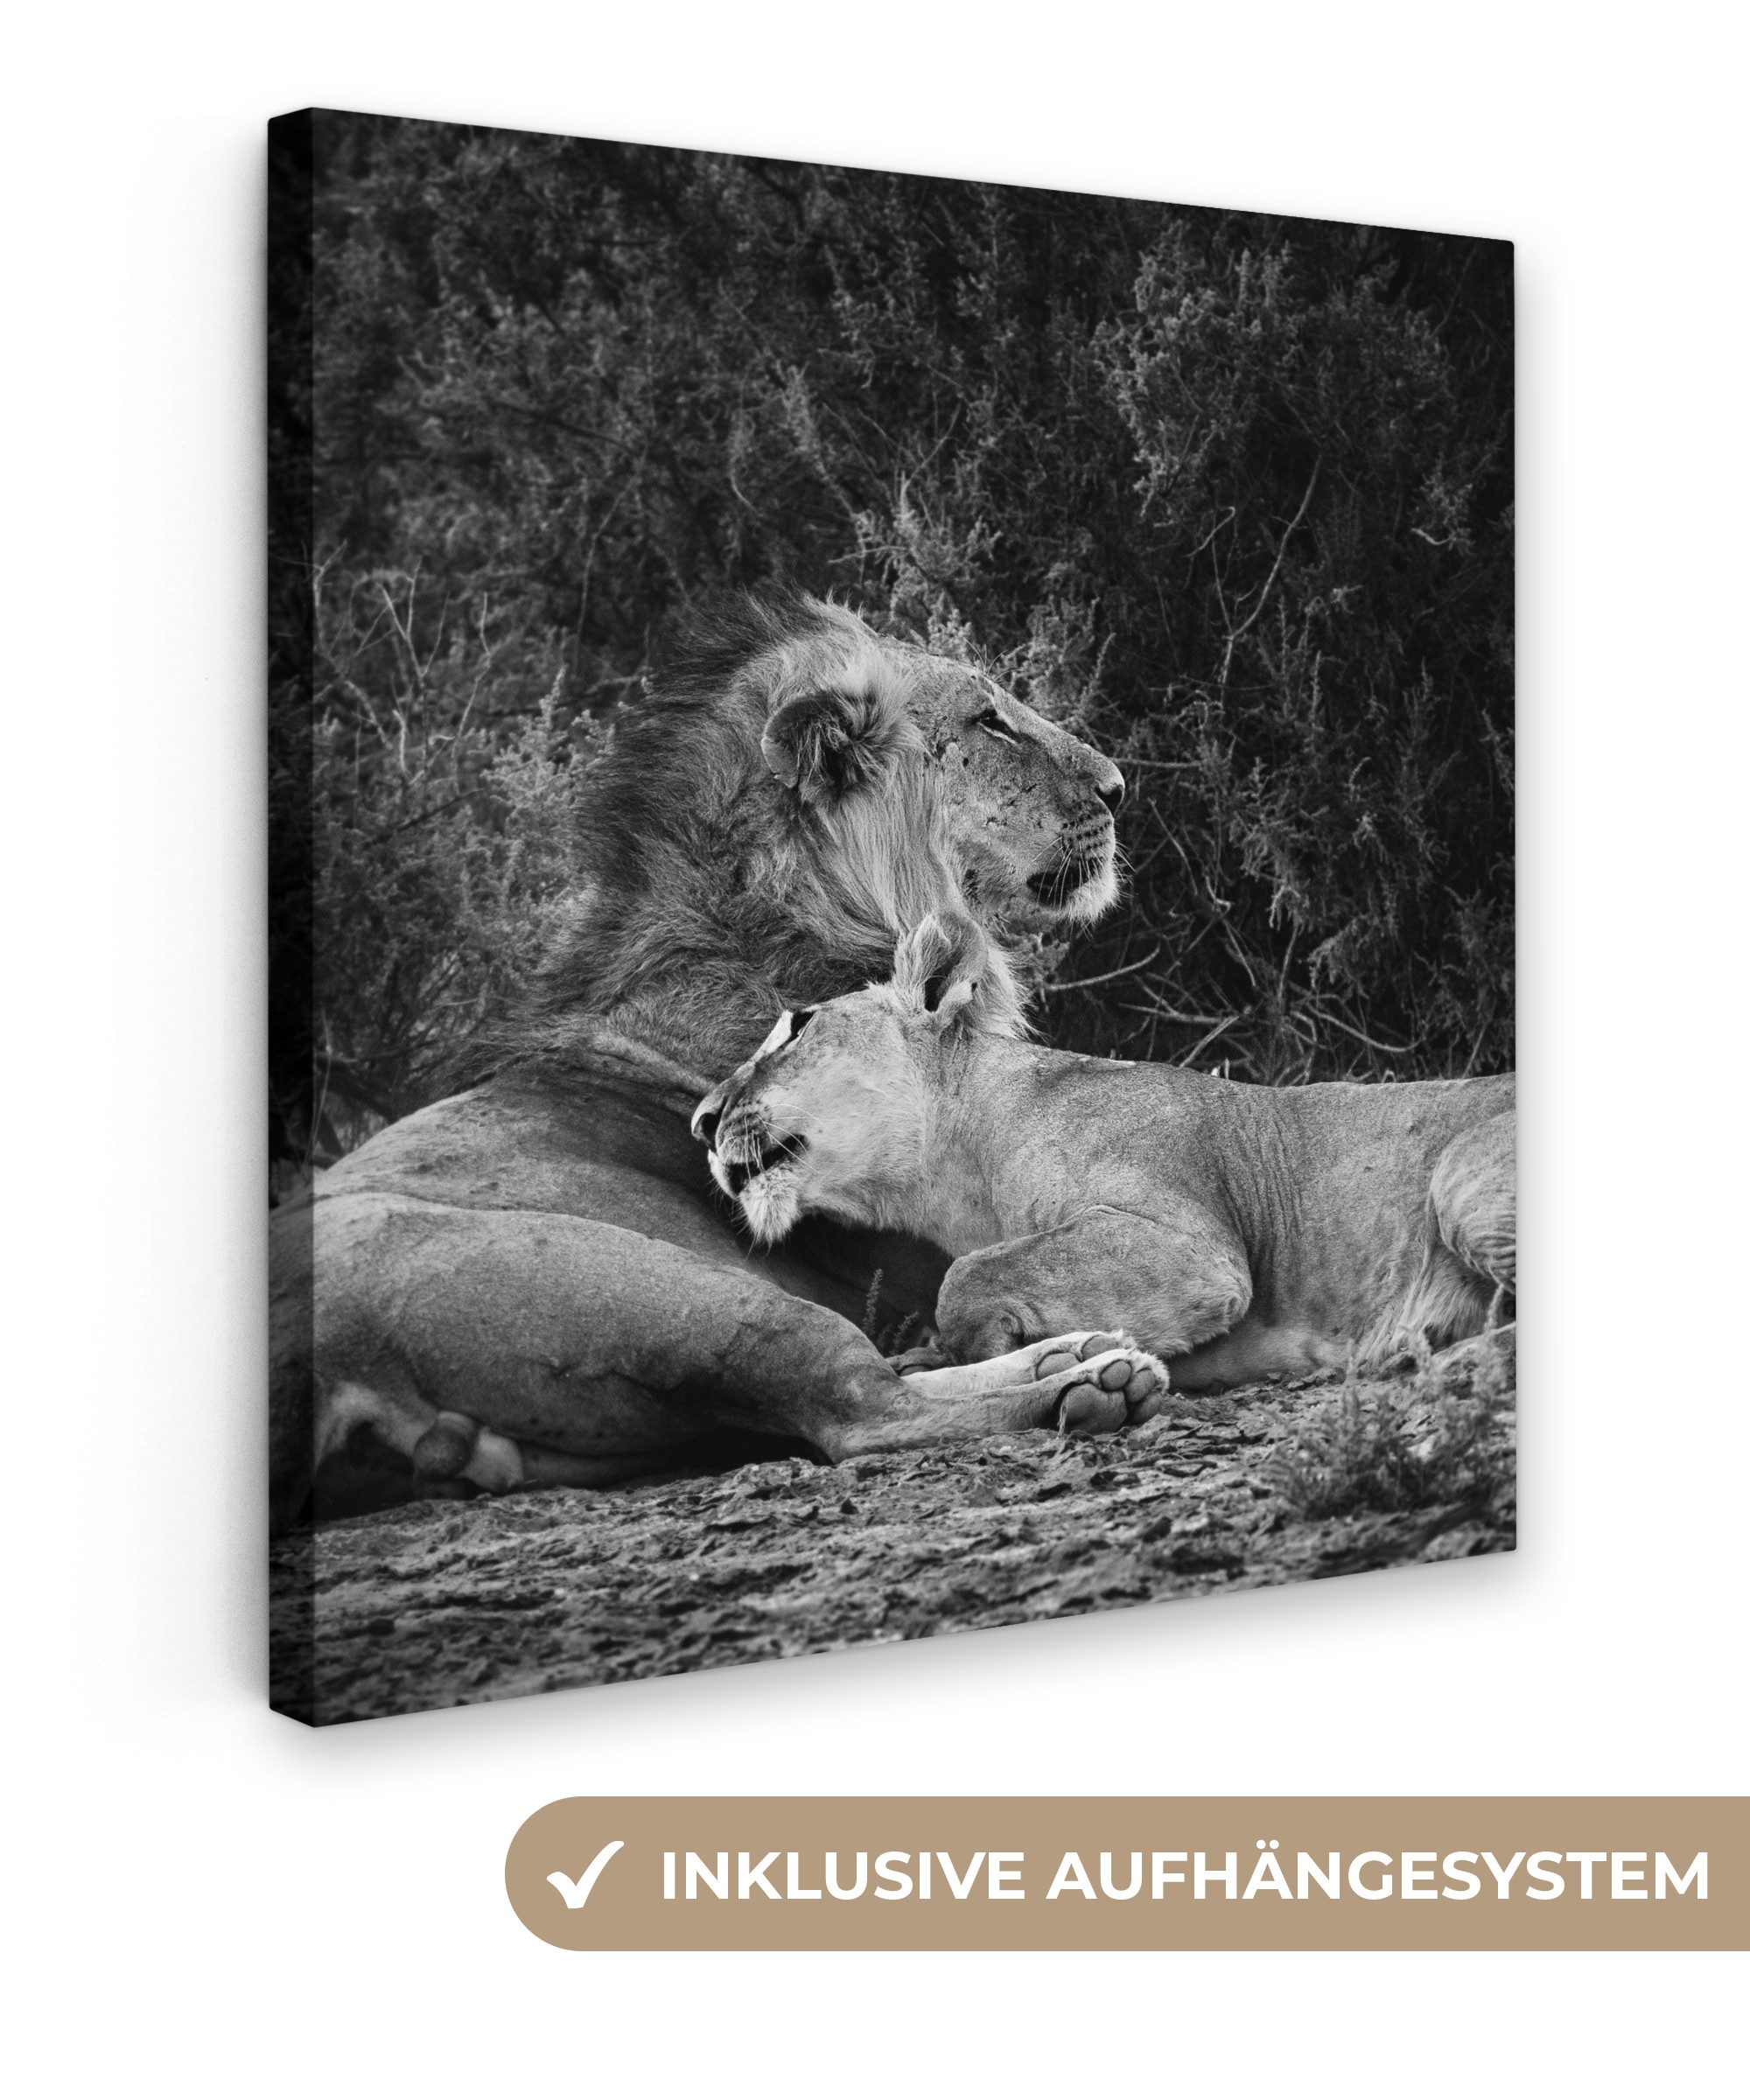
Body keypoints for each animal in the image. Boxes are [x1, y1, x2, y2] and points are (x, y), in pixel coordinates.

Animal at [692, 914, 1516, 1406]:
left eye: (799, 1025)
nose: (700, 1123)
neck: (962, 1173)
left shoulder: (1196, 1250)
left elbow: (970, 1275)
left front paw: (972, 1353)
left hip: (1458, 1178)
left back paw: (1438, 1362)